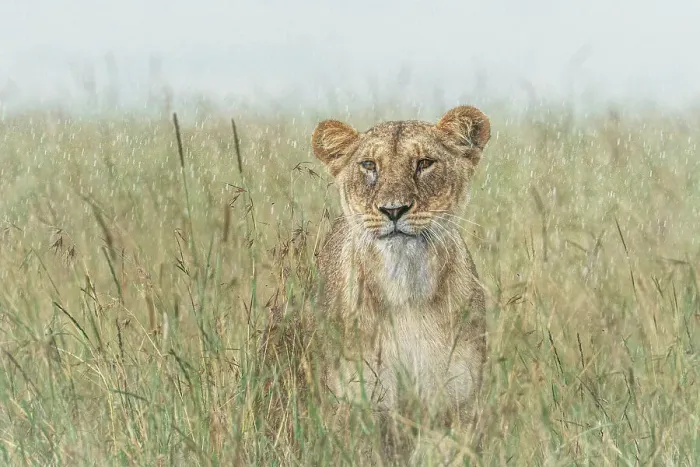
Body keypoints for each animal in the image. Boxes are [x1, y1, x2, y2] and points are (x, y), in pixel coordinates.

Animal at [311, 106, 491, 464]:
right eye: (369, 165)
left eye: (424, 163)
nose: (393, 210)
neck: (406, 288)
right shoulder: (357, 407)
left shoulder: (454, 406)